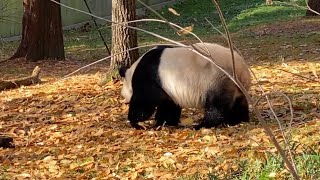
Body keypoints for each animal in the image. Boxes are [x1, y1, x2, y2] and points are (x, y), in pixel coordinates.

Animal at [119, 42, 251, 129]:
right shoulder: (168, 87)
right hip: (233, 85)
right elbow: (169, 104)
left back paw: (202, 125)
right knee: (238, 102)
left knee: (216, 106)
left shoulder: (149, 76)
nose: (124, 101)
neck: (132, 71)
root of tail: (242, 69)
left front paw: (136, 123)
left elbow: (145, 102)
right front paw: (165, 123)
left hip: (216, 79)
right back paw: (238, 120)